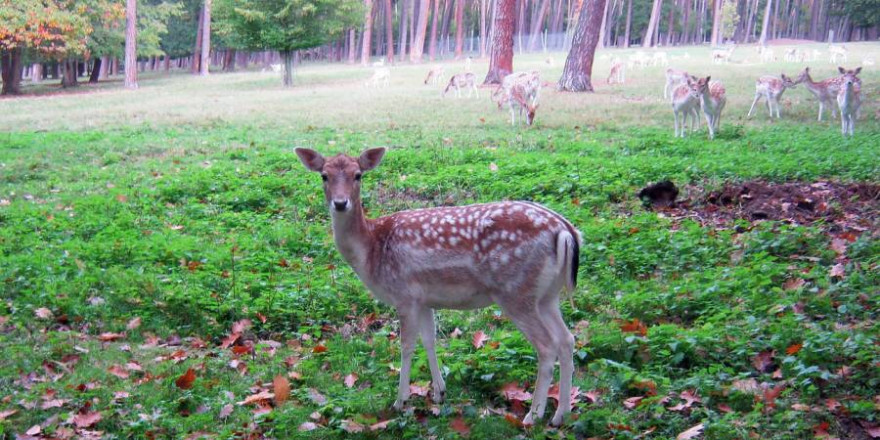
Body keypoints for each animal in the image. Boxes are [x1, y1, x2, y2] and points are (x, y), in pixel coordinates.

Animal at [298, 148, 584, 426]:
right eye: (324, 175)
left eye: (358, 175)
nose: (340, 203)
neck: (371, 250)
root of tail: (566, 232)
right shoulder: (424, 299)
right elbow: (429, 340)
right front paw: (439, 392)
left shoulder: (404, 295)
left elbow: (406, 345)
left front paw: (401, 401)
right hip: (546, 296)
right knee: (566, 340)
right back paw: (561, 414)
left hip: (516, 292)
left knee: (547, 347)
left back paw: (533, 415)